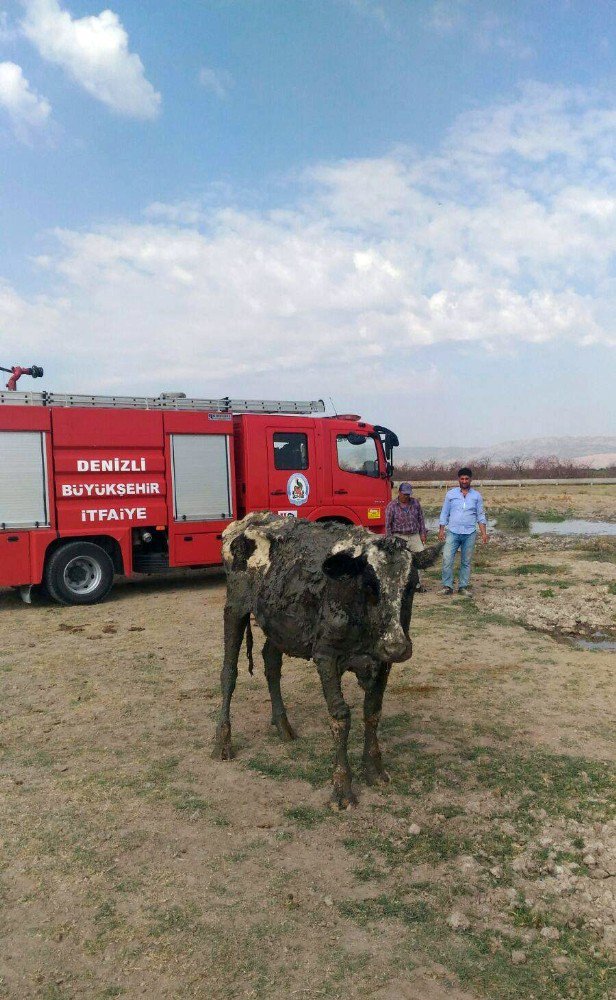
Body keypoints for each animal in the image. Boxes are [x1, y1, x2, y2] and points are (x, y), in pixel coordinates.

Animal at [213, 512, 442, 808]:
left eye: (411, 587)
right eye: (370, 585)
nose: (397, 646)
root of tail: (249, 520)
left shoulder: (382, 661)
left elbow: (373, 711)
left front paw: (374, 770)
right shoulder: (326, 655)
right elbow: (341, 716)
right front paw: (342, 788)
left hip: (279, 624)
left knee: (271, 664)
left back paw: (283, 726)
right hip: (235, 607)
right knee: (228, 673)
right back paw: (222, 743)